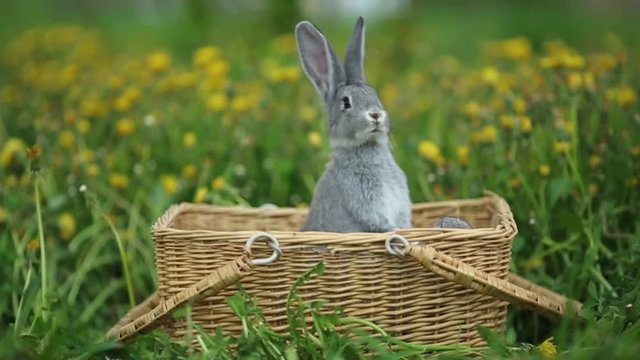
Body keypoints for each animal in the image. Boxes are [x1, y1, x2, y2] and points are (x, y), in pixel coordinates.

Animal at [296, 16, 412, 232]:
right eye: (346, 103)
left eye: (375, 96)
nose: (375, 115)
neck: (366, 146)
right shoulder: (364, 203)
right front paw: (393, 230)